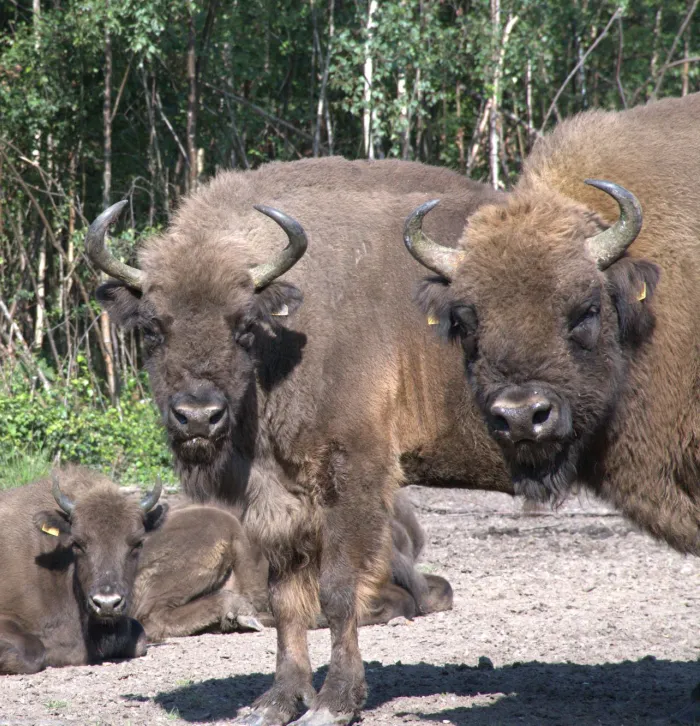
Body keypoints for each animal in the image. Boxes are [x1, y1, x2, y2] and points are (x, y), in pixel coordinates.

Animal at [88, 158, 511, 725]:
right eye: (153, 329)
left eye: (244, 325)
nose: (198, 417)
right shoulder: (278, 498)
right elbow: (287, 598)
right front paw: (276, 702)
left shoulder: (353, 480)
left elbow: (337, 591)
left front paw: (333, 704)